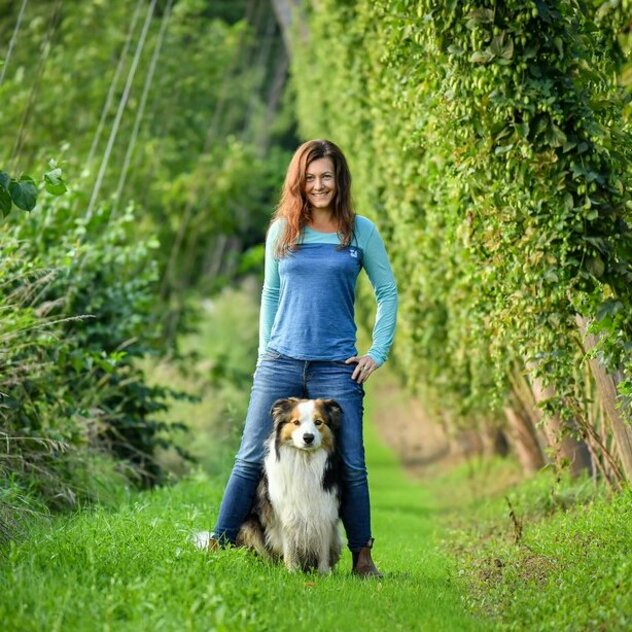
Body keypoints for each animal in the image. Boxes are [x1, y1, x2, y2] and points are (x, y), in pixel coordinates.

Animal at [235, 398, 344, 576]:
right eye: (296, 422)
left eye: (318, 422)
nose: (308, 437)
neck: (305, 460)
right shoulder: (285, 513)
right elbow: (290, 545)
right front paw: (292, 571)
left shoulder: (325, 510)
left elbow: (323, 546)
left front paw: (324, 574)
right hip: (249, 525)